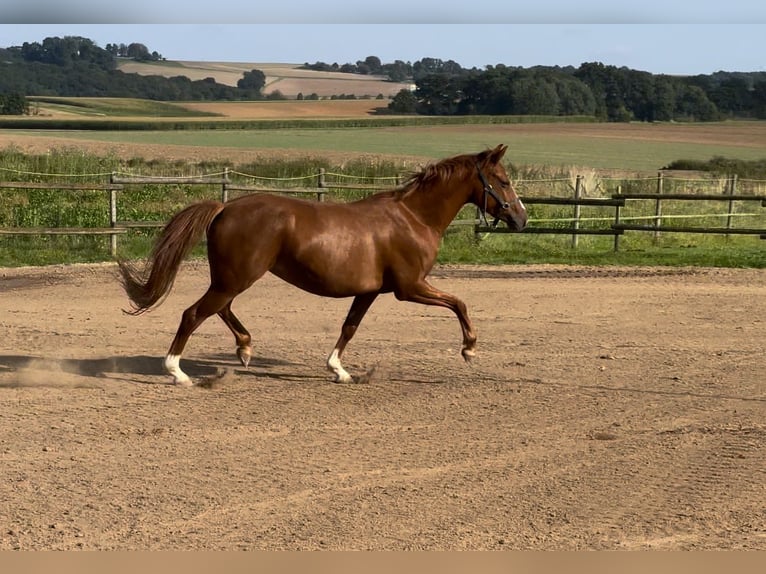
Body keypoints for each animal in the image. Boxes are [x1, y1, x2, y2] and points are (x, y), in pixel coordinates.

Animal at [118, 144, 528, 388]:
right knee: (194, 313)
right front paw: (469, 349)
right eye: (503, 181)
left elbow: (349, 327)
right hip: (236, 278)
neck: (413, 217)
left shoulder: (369, 292)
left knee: (220, 310)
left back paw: (245, 349)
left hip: (231, 278)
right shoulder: (409, 287)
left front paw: (339, 370)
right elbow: (459, 303)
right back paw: (177, 372)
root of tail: (224, 207)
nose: (522, 219)